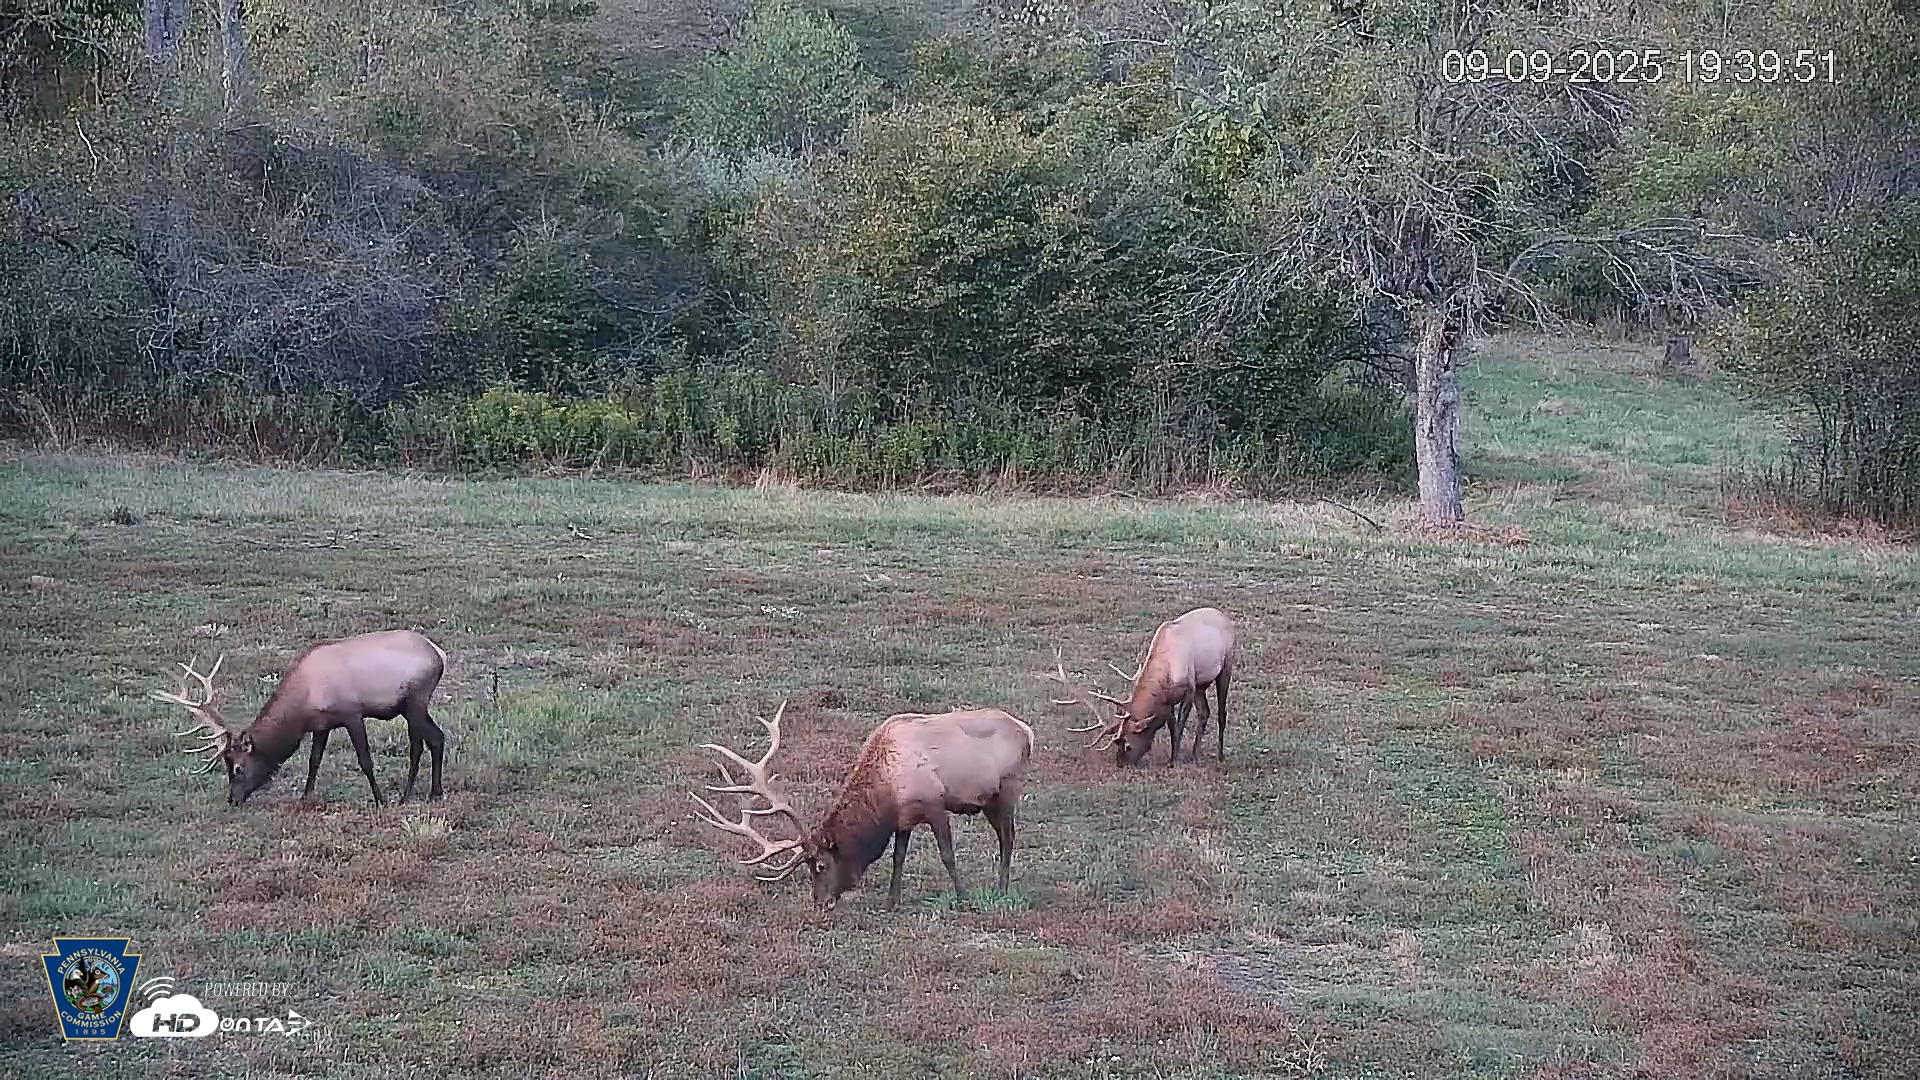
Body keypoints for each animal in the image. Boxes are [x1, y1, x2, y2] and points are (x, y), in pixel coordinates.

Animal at [153, 629, 450, 807]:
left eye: (237, 767)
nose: (232, 800)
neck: (303, 703)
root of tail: (440, 654)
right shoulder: (321, 725)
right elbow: (314, 760)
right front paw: (305, 797)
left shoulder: (352, 714)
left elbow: (365, 760)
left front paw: (379, 800)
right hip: (411, 706)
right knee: (437, 737)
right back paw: (435, 792)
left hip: (415, 700)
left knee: (419, 744)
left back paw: (406, 796)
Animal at [688, 701, 1033, 911]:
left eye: (820, 865)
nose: (820, 903)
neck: (885, 793)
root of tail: (1027, 731)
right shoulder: (904, 818)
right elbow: (898, 857)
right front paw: (891, 901)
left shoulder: (934, 803)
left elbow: (947, 854)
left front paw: (963, 896)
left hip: (1006, 789)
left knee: (1008, 837)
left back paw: (1002, 889)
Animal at [1047, 606, 1236, 767]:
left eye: (1128, 744)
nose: (1121, 763)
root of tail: (1224, 616)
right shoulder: (1168, 700)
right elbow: (1171, 725)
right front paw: (1176, 756)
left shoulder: (1189, 688)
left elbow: (1179, 726)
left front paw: (1173, 761)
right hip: (1202, 684)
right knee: (1205, 712)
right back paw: (1195, 755)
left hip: (1225, 666)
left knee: (1221, 712)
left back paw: (1220, 755)